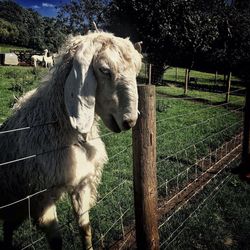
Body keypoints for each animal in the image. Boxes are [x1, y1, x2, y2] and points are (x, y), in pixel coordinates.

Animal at [0, 31, 142, 250]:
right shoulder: (42, 197)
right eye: (104, 70)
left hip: (18, 206)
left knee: (8, 227)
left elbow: (85, 228)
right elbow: (56, 241)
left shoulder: (81, 184)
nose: (130, 121)